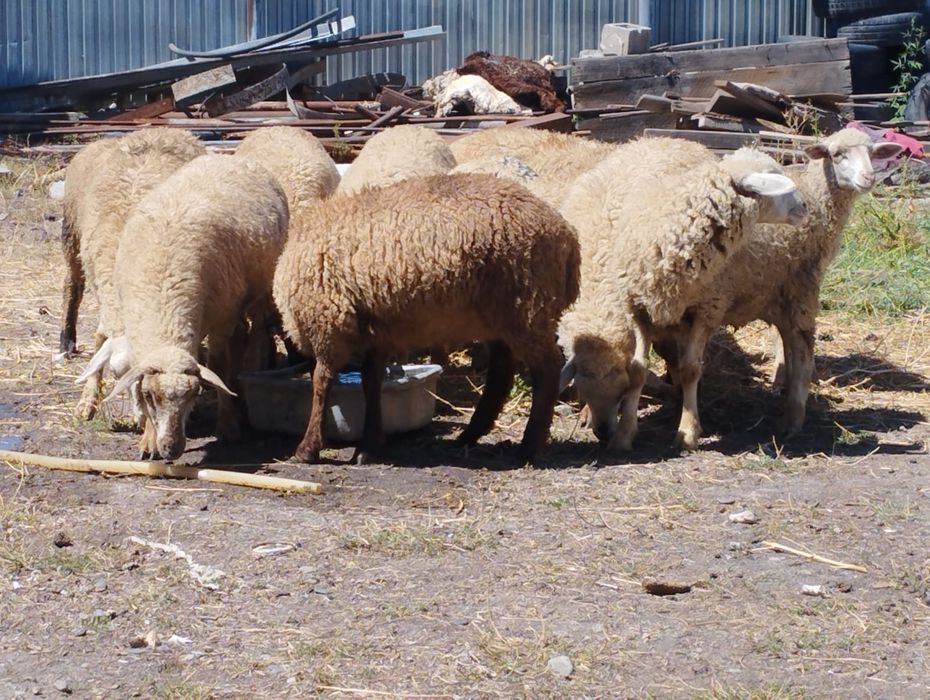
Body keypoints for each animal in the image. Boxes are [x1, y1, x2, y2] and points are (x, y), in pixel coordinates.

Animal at [65, 128, 207, 419]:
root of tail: (163, 129)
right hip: (72, 237)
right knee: (71, 288)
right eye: (119, 375)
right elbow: (99, 340)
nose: (142, 418)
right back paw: (65, 343)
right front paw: (87, 400)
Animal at [79, 154, 289, 460]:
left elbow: (218, 366)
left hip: (255, 289)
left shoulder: (219, 323)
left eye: (193, 394)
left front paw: (226, 426)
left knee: (248, 335)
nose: (172, 449)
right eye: (150, 396)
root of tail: (228, 157)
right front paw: (148, 441)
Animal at [273, 173, 580, 464]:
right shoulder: (375, 327)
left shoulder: (329, 321)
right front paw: (369, 446)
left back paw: (529, 446)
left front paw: (308, 448)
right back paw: (470, 436)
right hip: (502, 316)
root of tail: (567, 237)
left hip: (527, 310)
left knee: (547, 370)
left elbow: (322, 381)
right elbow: (370, 381)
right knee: (502, 373)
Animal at [558, 138, 807, 451]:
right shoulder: (636, 309)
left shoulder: (707, 309)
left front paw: (687, 431)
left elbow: (690, 369)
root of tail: (666, 138)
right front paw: (625, 434)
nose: (805, 206)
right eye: (774, 178)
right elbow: (638, 369)